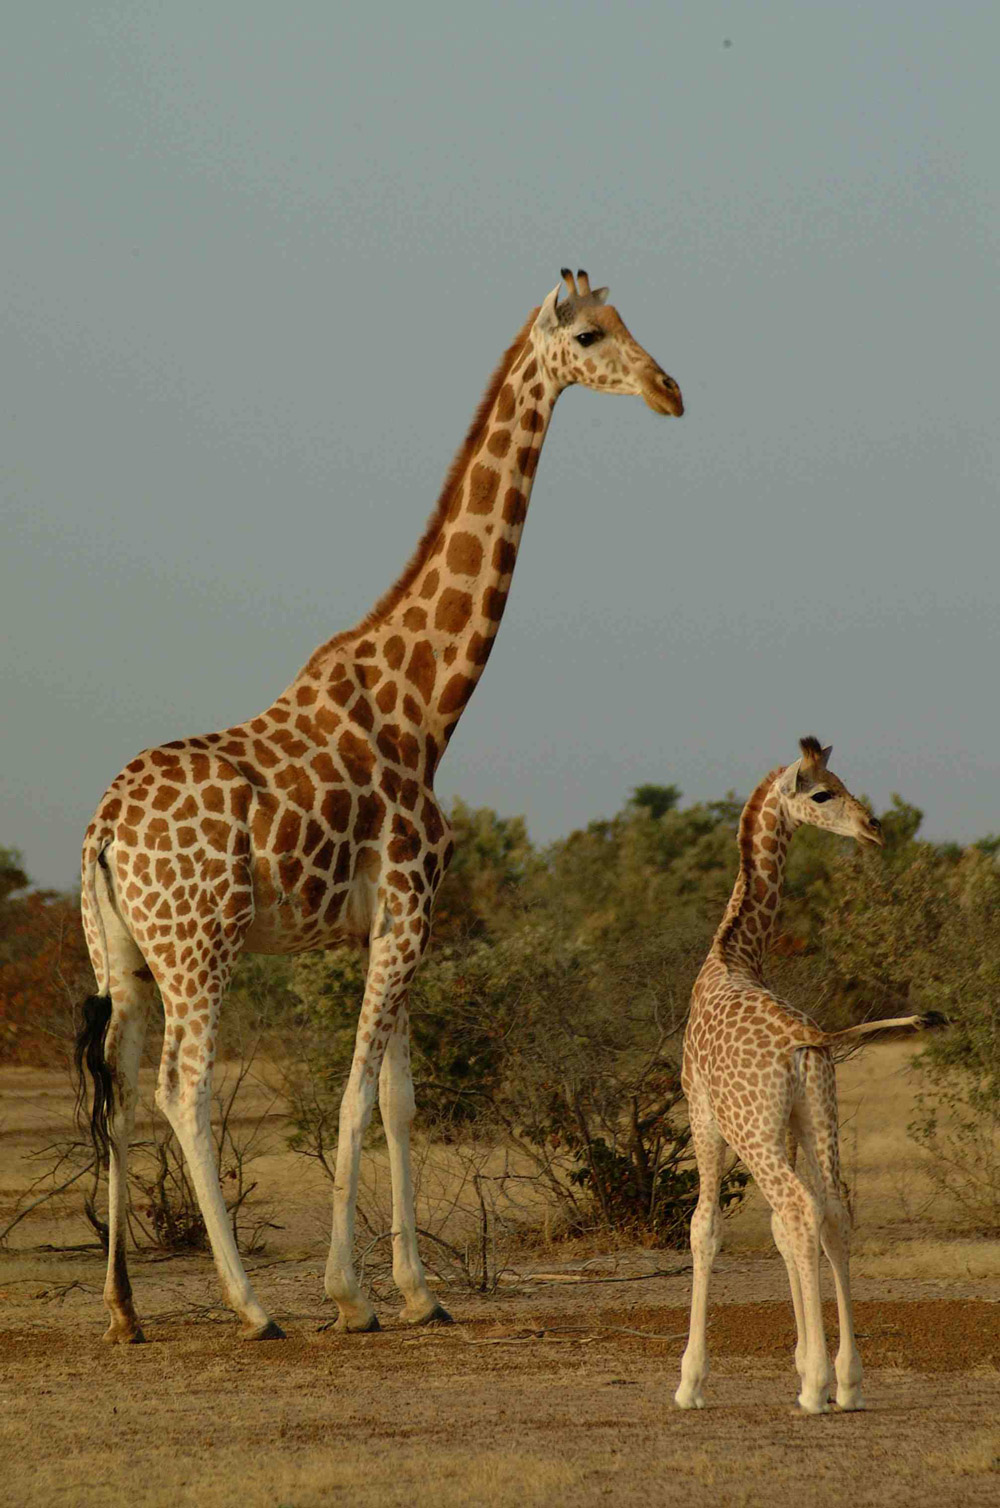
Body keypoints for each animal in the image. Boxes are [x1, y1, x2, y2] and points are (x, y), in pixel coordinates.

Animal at [78, 268, 684, 1345]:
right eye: (588, 333)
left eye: (625, 320)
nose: (669, 389)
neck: (426, 704)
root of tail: (104, 830)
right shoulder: (408, 903)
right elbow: (357, 1095)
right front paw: (348, 1294)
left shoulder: (395, 921)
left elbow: (400, 1098)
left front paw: (417, 1288)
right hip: (201, 944)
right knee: (183, 1086)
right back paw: (252, 1304)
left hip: (121, 954)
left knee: (118, 1085)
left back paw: (125, 1309)